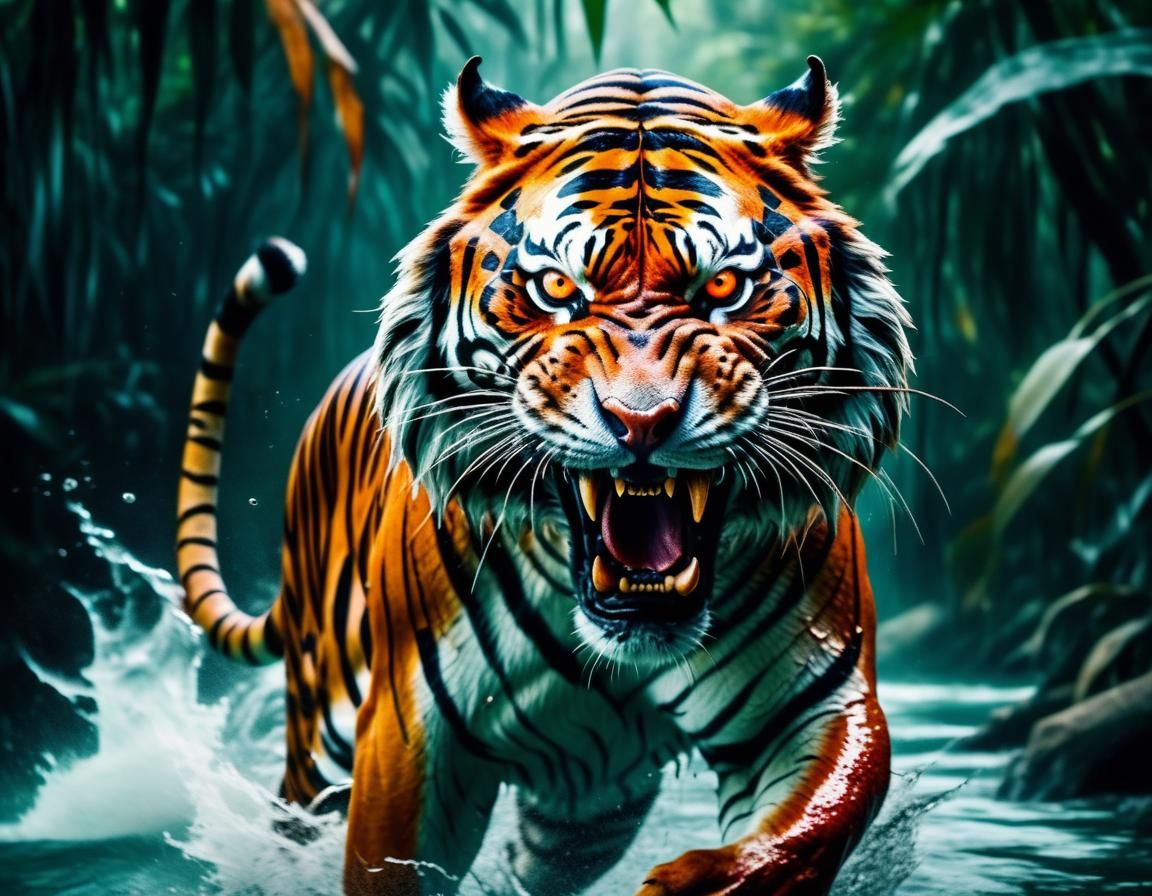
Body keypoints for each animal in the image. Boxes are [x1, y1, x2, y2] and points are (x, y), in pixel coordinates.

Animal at [176, 56, 911, 896]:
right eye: (558, 289)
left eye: (724, 289)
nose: (643, 421)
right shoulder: (405, 735)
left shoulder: (816, 703)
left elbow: (812, 823)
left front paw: (696, 881)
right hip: (320, 736)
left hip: (585, 811)